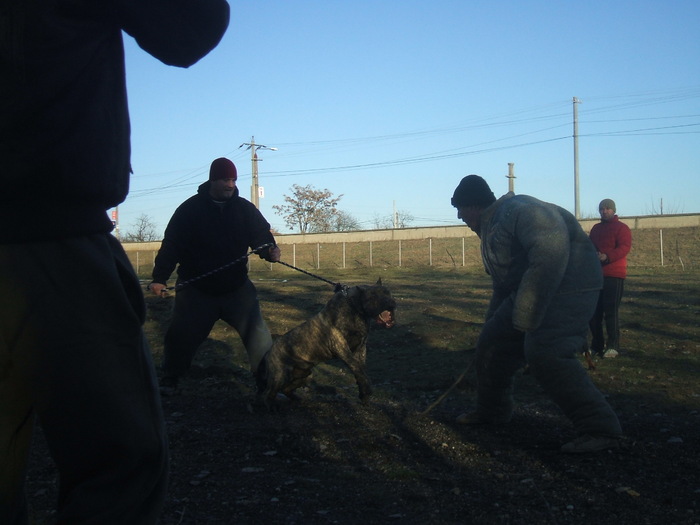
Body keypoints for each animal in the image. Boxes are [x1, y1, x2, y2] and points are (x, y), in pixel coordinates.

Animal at [258, 278, 396, 410]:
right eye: (374, 296)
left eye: (388, 293)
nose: (391, 302)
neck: (355, 308)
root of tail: (268, 352)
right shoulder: (340, 345)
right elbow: (356, 366)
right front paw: (366, 387)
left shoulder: (361, 347)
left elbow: (361, 369)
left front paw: (364, 393)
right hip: (280, 376)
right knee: (268, 393)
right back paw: (271, 405)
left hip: (305, 375)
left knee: (286, 389)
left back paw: (297, 398)